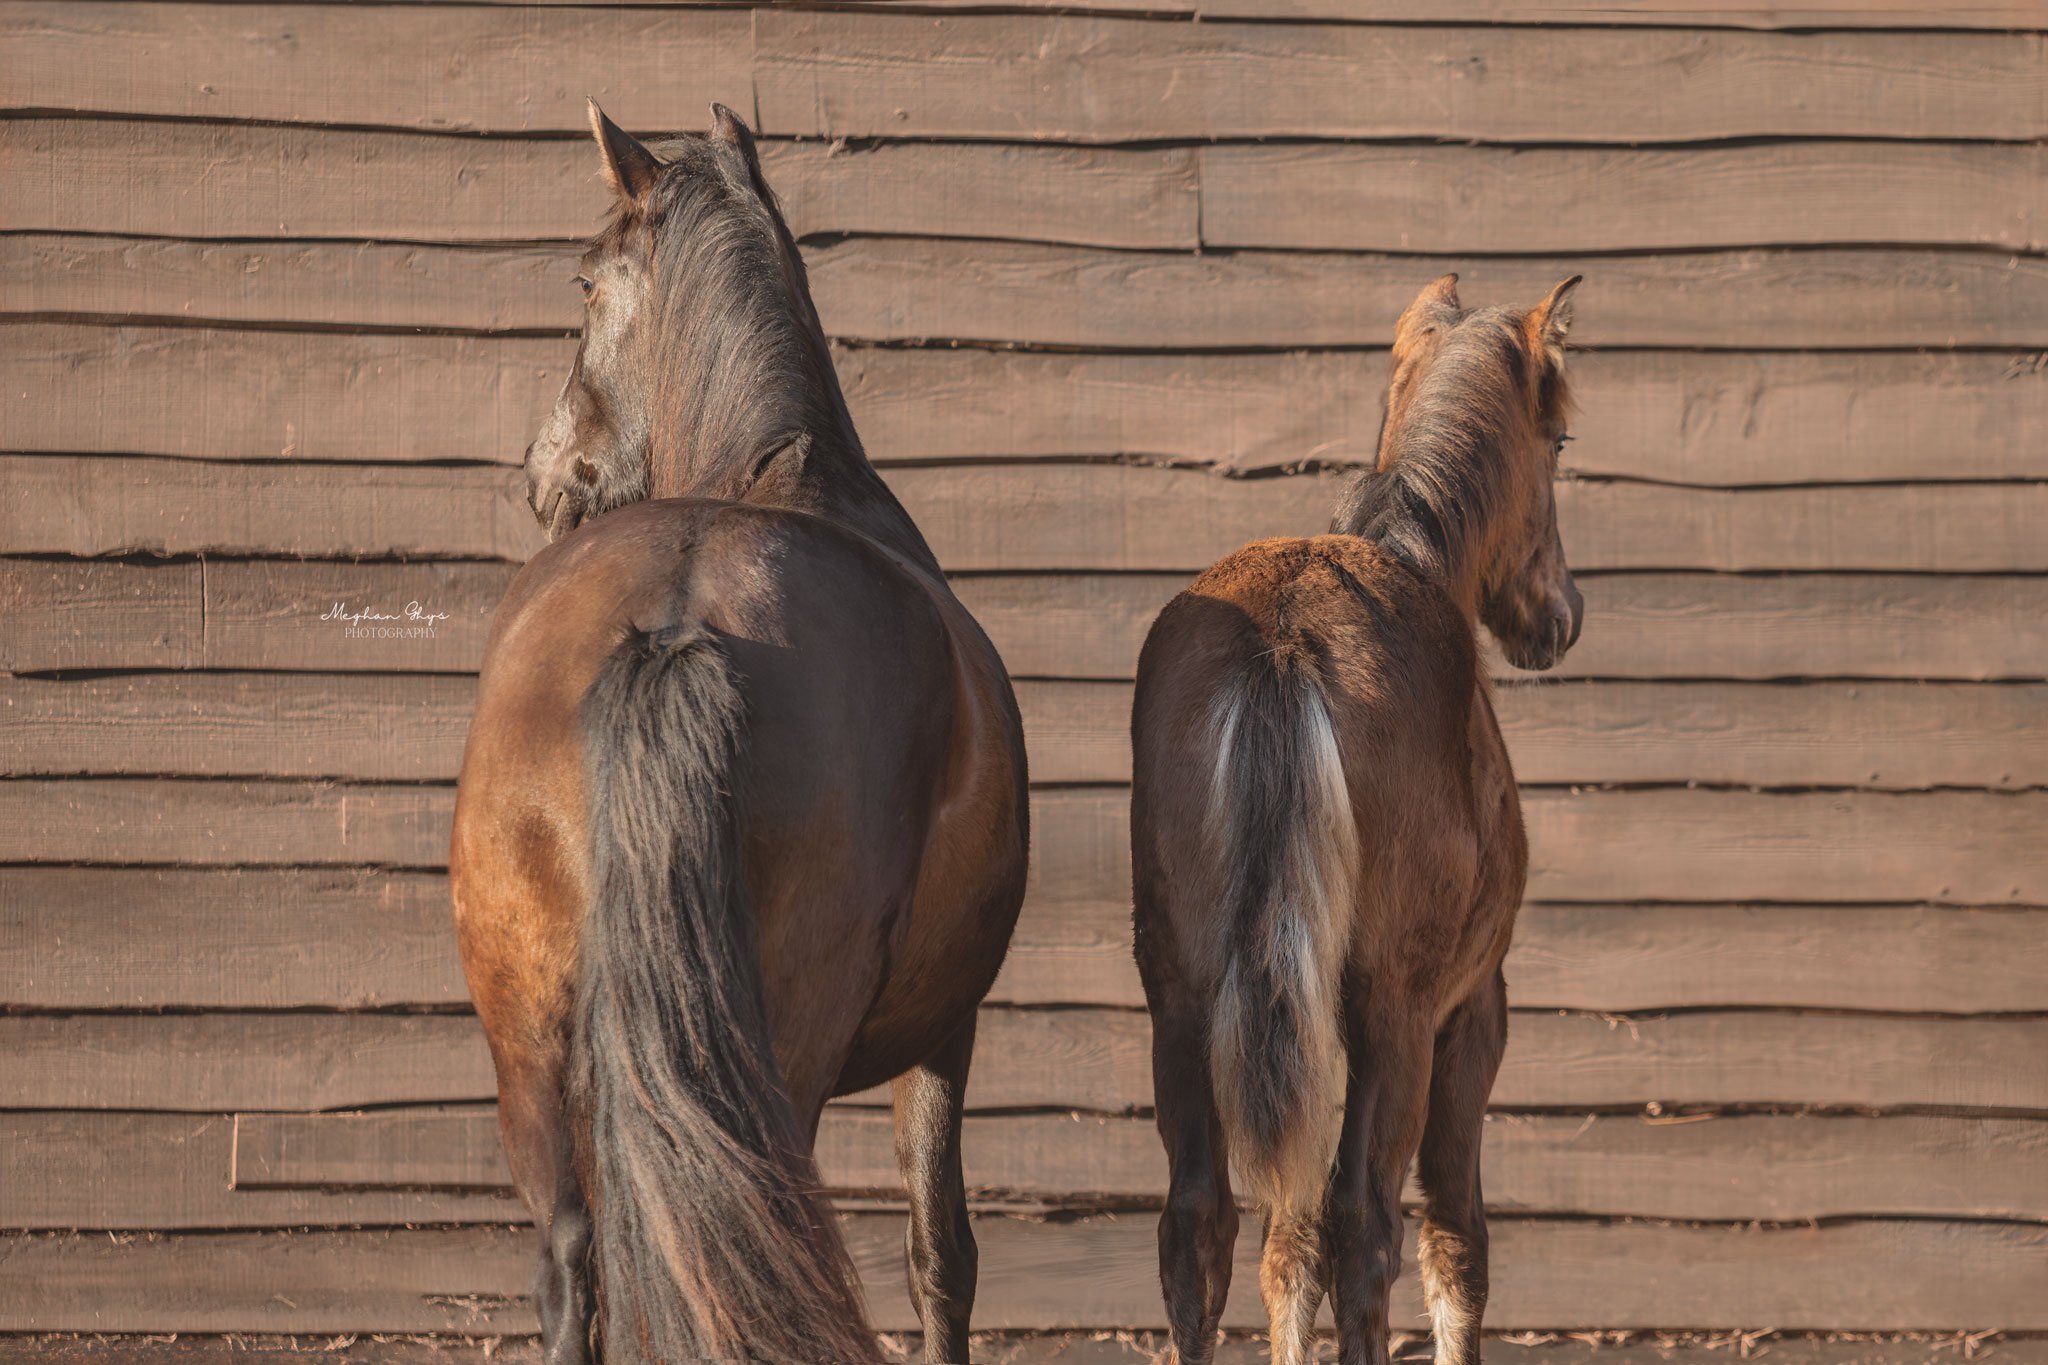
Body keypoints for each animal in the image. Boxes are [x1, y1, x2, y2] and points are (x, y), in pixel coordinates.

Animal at [450, 104, 1029, 1364]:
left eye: (582, 283)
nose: (540, 475)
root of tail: (677, 615)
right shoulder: (945, 1030)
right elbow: (941, 1256)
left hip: (529, 1044)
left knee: (574, 1261)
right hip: (780, 1053)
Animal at [1129, 274, 1585, 1365]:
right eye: (1558, 441)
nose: (1561, 614)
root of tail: (1286, 638)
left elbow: (1285, 1244)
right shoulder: (1471, 1009)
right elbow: (1453, 1236)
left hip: (1186, 994)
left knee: (1200, 1222)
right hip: (1394, 1009)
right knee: (1367, 1223)